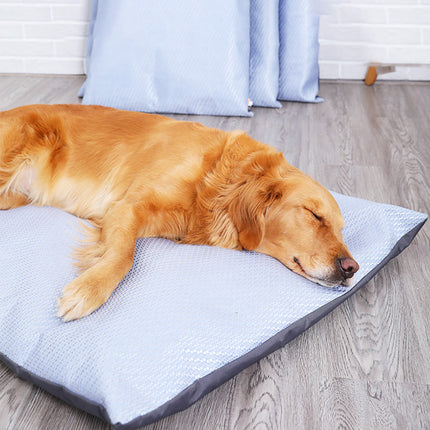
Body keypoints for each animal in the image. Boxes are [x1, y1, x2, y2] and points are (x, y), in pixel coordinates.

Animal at [0, 104, 360, 320]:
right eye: (314, 214)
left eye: (342, 229)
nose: (351, 268)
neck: (215, 178)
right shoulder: (127, 207)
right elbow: (124, 256)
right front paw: (88, 290)